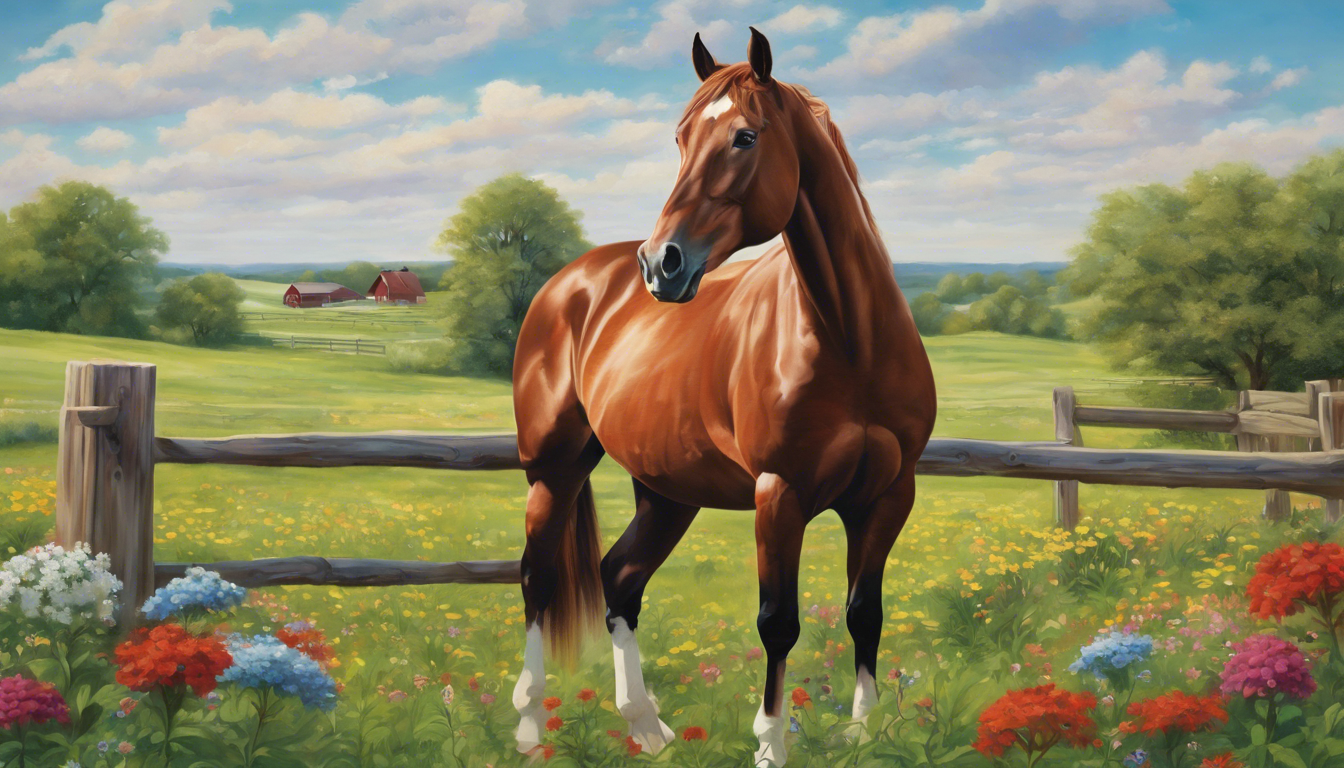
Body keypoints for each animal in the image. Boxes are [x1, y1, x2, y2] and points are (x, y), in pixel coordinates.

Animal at [508, 28, 936, 766]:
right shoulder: (779, 494)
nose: (662, 264)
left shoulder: (888, 495)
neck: (851, 342)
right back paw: (532, 726)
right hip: (554, 470)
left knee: (619, 579)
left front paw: (863, 731)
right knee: (539, 579)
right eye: (681, 139)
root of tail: (570, 282)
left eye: (744, 136)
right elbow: (778, 622)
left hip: (666, 490)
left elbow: (864, 611)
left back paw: (646, 727)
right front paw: (770, 744)